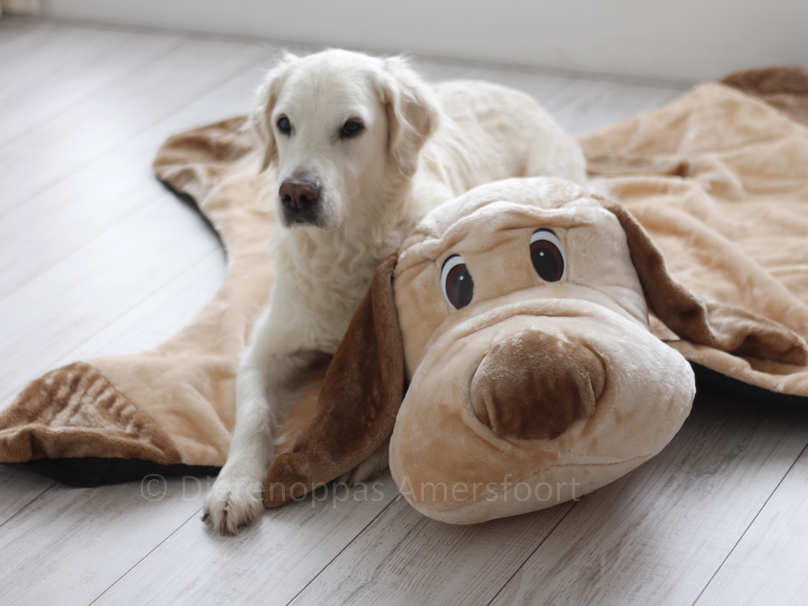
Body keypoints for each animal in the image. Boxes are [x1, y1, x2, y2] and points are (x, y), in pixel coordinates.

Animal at [204, 47, 588, 536]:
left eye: (351, 127)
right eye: (284, 123)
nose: (295, 195)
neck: (344, 249)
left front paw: (363, 459)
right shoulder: (266, 349)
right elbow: (252, 415)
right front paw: (233, 487)